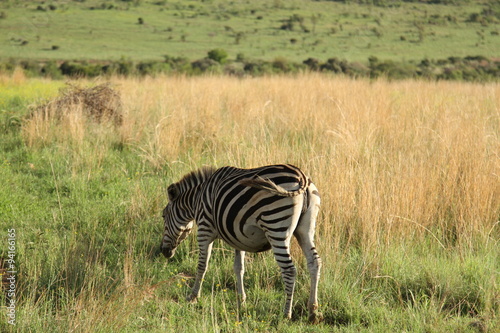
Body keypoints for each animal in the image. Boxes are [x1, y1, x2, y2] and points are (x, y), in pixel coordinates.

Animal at [161, 163, 324, 322]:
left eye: (163, 216)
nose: (164, 251)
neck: (197, 199)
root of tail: (301, 176)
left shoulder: (204, 229)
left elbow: (202, 266)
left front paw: (193, 296)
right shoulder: (238, 238)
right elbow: (239, 268)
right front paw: (241, 301)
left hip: (276, 227)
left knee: (289, 270)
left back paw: (286, 314)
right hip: (305, 229)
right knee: (314, 262)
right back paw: (313, 311)